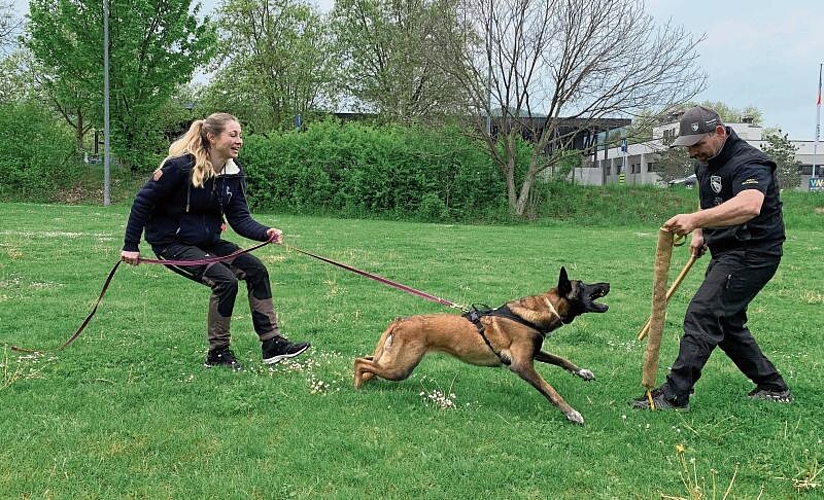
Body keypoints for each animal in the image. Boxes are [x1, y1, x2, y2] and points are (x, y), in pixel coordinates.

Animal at [350, 268, 608, 424]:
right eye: (581, 285)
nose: (607, 283)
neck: (536, 313)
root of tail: (401, 321)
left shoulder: (534, 353)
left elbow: (561, 360)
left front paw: (583, 372)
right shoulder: (522, 365)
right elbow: (550, 390)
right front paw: (572, 413)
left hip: (393, 360)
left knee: (367, 362)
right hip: (400, 367)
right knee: (360, 362)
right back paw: (358, 386)